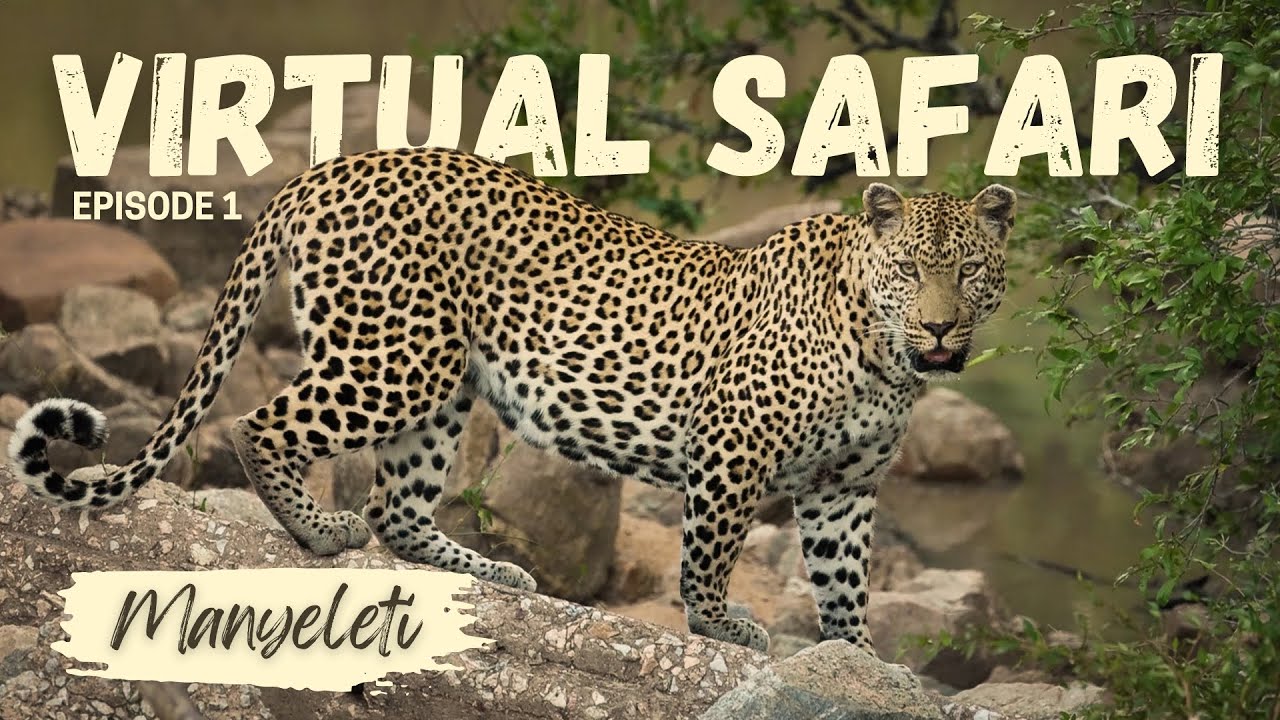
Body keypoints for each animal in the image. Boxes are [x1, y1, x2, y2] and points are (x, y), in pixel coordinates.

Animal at [8, 146, 1014, 653]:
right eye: (907, 271)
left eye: (968, 272)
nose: (938, 331)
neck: (884, 360)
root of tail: (328, 167)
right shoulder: (733, 448)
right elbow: (709, 555)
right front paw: (724, 624)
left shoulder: (846, 488)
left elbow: (846, 583)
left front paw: (858, 659)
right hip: (396, 357)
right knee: (261, 425)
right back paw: (318, 530)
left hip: (445, 384)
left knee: (397, 504)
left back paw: (490, 572)